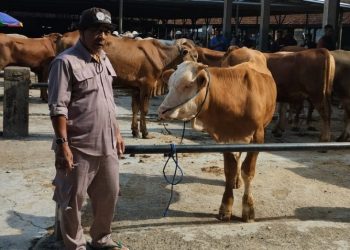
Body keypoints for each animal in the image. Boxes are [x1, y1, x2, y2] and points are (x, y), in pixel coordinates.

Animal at [55, 30, 197, 139]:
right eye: (194, 56)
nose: (199, 67)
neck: (162, 56)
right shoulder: (147, 85)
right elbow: (144, 109)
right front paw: (145, 132)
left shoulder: (136, 87)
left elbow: (135, 108)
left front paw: (135, 131)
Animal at [158, 61, 276, 222]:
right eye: (169, 85)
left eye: (187, 85)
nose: (161, 110)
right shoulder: (224, 138)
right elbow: (229, 171)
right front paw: (226, 207)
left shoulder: (258, 137)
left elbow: (248, 172)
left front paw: (248, 207)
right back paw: (236, 181)